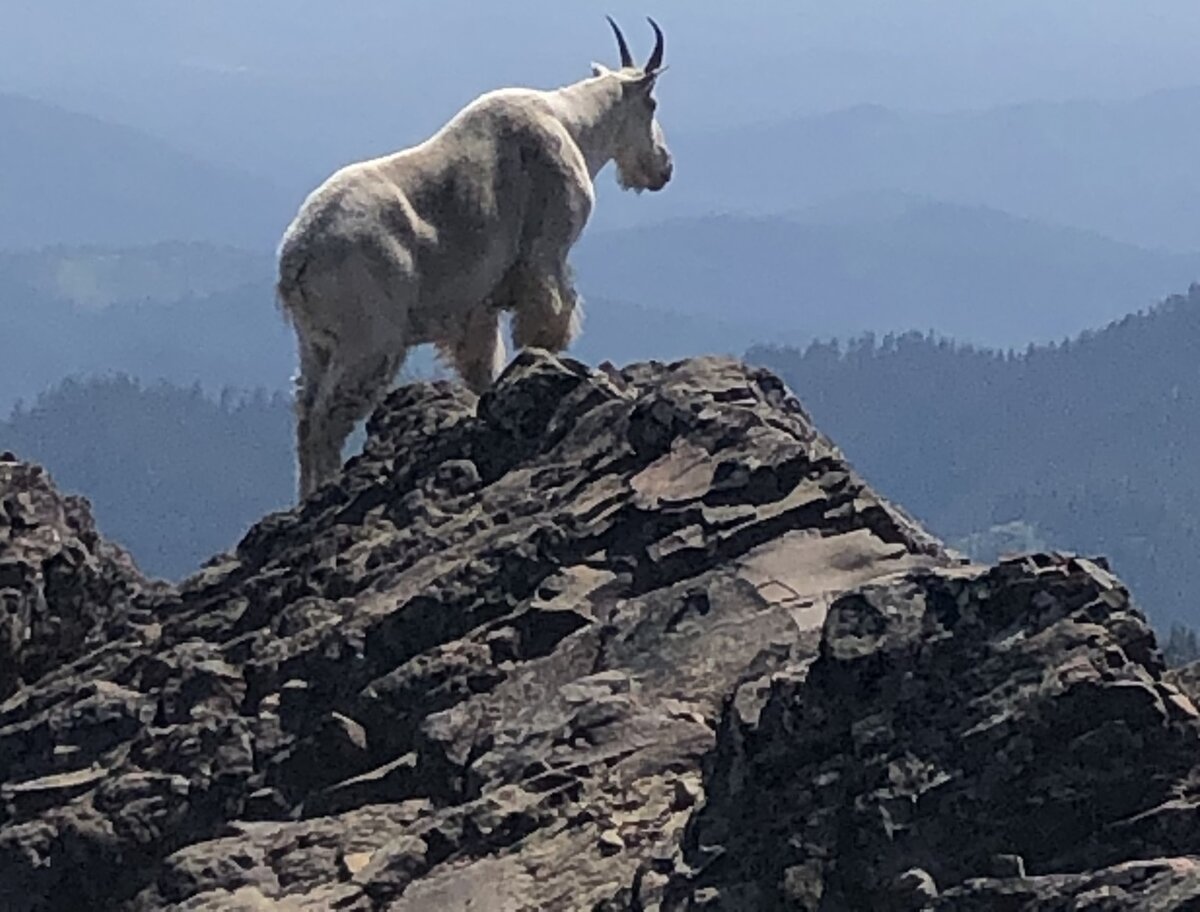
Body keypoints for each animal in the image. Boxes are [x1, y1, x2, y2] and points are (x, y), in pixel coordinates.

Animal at [279, 16, 676, 499]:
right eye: (651, 103)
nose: (663, 168)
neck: (572, 124)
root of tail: (296, 259)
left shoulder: (478, 306)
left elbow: (482, 365)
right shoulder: (546, 254)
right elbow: (547, 320)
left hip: (315, 345)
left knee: (305, 415)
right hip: (368, 340)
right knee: (325, 421)